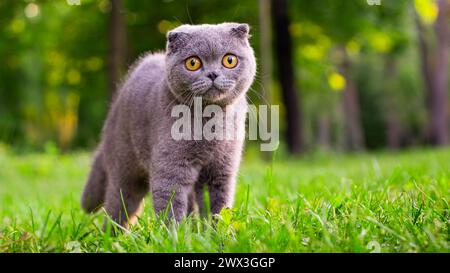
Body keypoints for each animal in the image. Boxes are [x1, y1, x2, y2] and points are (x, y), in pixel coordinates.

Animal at [81, 22, 256, 227]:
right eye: (193, 63)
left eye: (229, 60)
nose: (212, 74)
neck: (210, 125)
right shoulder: (171, 165)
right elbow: (170, 203)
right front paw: (174, 232)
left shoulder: (222, 168)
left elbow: (218, 204)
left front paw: (215, 230)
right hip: (124, 166)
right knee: (119, 205)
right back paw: (112, 233)